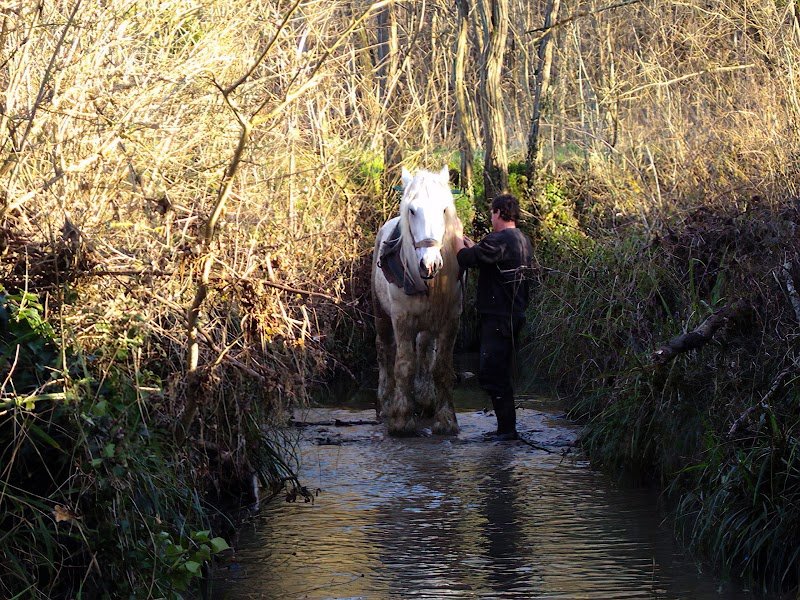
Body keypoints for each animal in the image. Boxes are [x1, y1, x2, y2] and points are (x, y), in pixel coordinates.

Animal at [371, 165, 462, 436]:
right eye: (412, 210)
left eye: (444, 209)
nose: (429, 264)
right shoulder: (402, 320)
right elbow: (404, 366)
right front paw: (401, 420)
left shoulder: (450, 320)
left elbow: (441, 367)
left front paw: (446, 419)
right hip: (381, 315)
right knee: (384, 350)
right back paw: (386, 401)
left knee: (423, 349)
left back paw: (424, 399)